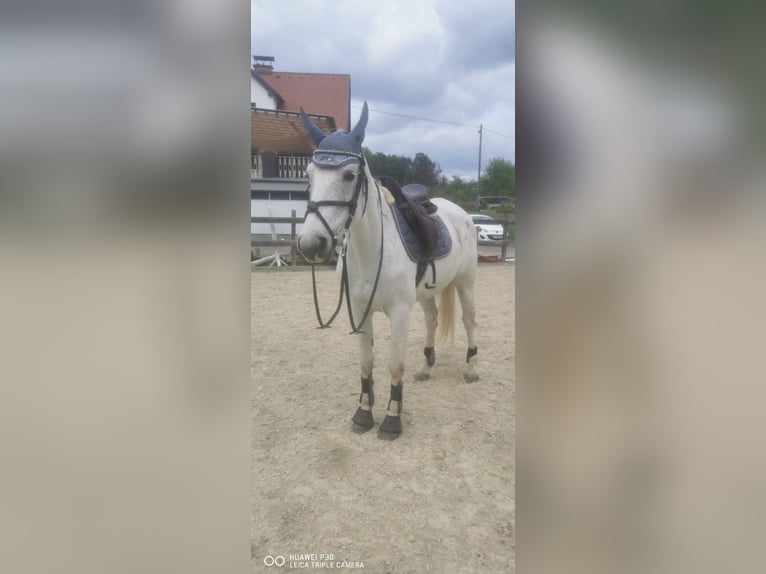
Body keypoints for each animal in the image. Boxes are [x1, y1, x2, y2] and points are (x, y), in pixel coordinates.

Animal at [296, 103, 480, 436]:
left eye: (349, 174)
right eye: (308, 174)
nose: (311, 243)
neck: (371, 251)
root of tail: (459, 211)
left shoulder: (400, 312)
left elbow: (395, 365)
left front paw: (392, 419)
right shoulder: (359, 311)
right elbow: (367, 363)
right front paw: (363, 413)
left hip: (465, 283)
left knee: (470, 321)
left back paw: (472, 369)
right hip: (427, 293)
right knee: (433, 320)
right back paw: (425, 368)